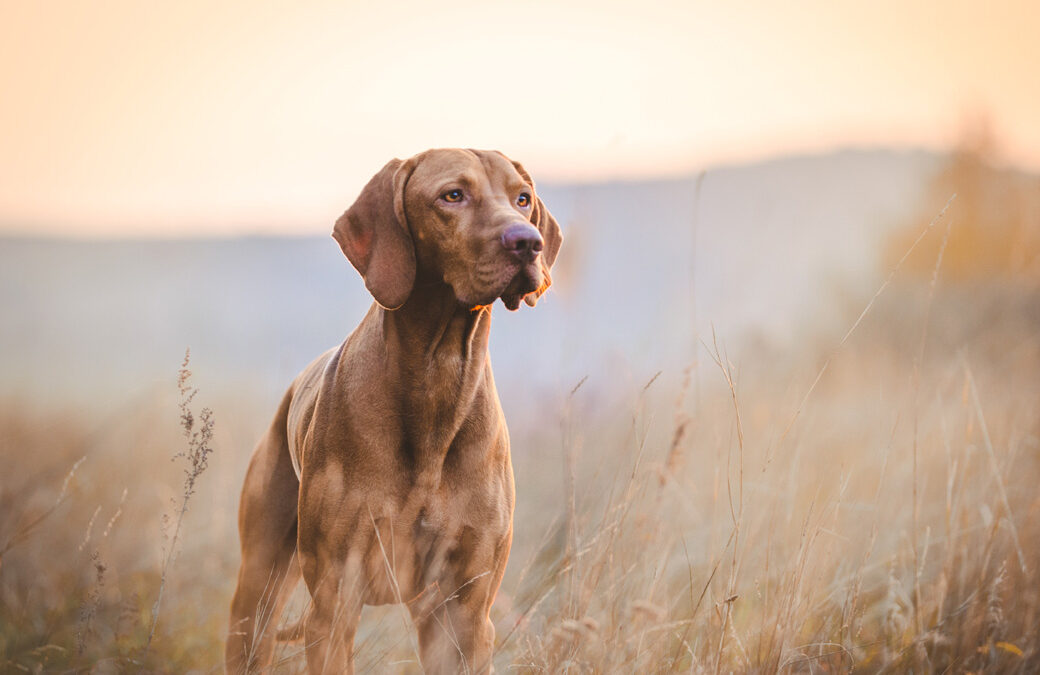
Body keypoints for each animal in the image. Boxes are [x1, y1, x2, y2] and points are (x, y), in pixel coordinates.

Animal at [227, 149, 565, 669]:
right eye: (452, 195)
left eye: (522, 199)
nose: (528, 243)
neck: (437, 378)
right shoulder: (334, 603)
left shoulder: (465, 613)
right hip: (257, 592)